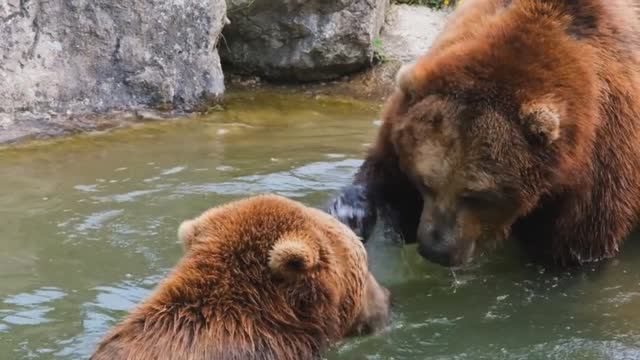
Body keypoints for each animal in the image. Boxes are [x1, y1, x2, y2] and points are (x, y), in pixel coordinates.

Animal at [328, 0, 640, 268]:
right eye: (425, 182)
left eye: (478, 195)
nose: (435, 249)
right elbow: (385, 172)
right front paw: (350, 212)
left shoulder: (602, 157)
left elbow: (574, 245)